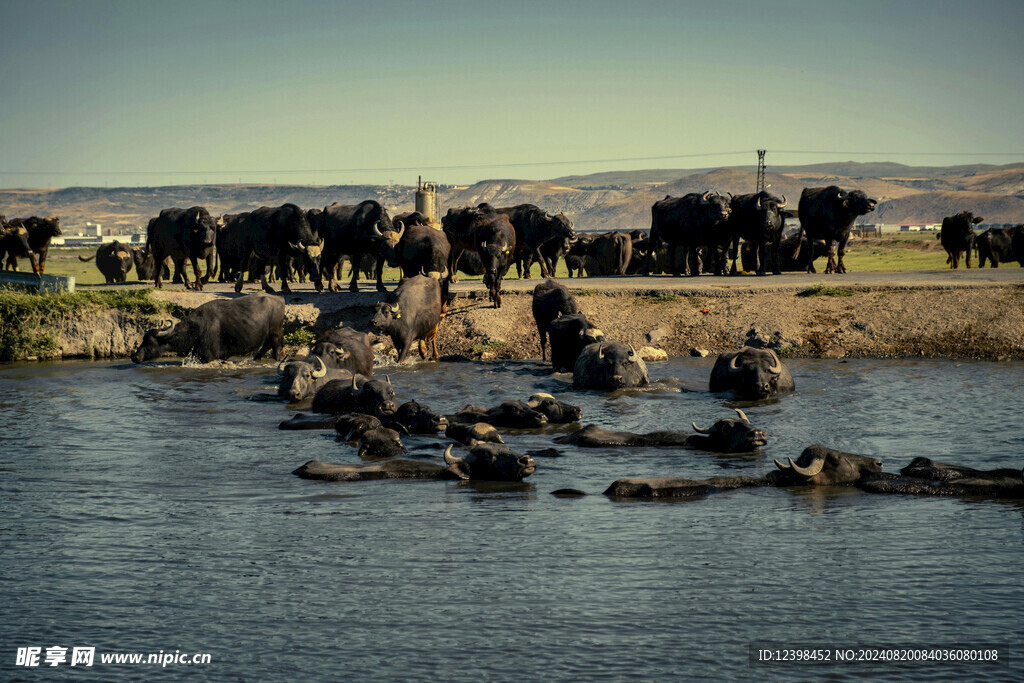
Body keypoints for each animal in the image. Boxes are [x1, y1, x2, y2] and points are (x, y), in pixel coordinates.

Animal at [132, 292, 286, 362]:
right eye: (142, 340)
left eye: (149, 342)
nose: (134, 357)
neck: (195, 330)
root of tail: (280, 299)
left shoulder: (209, 357)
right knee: (265, 346)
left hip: (275, 333)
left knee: (276, 348)